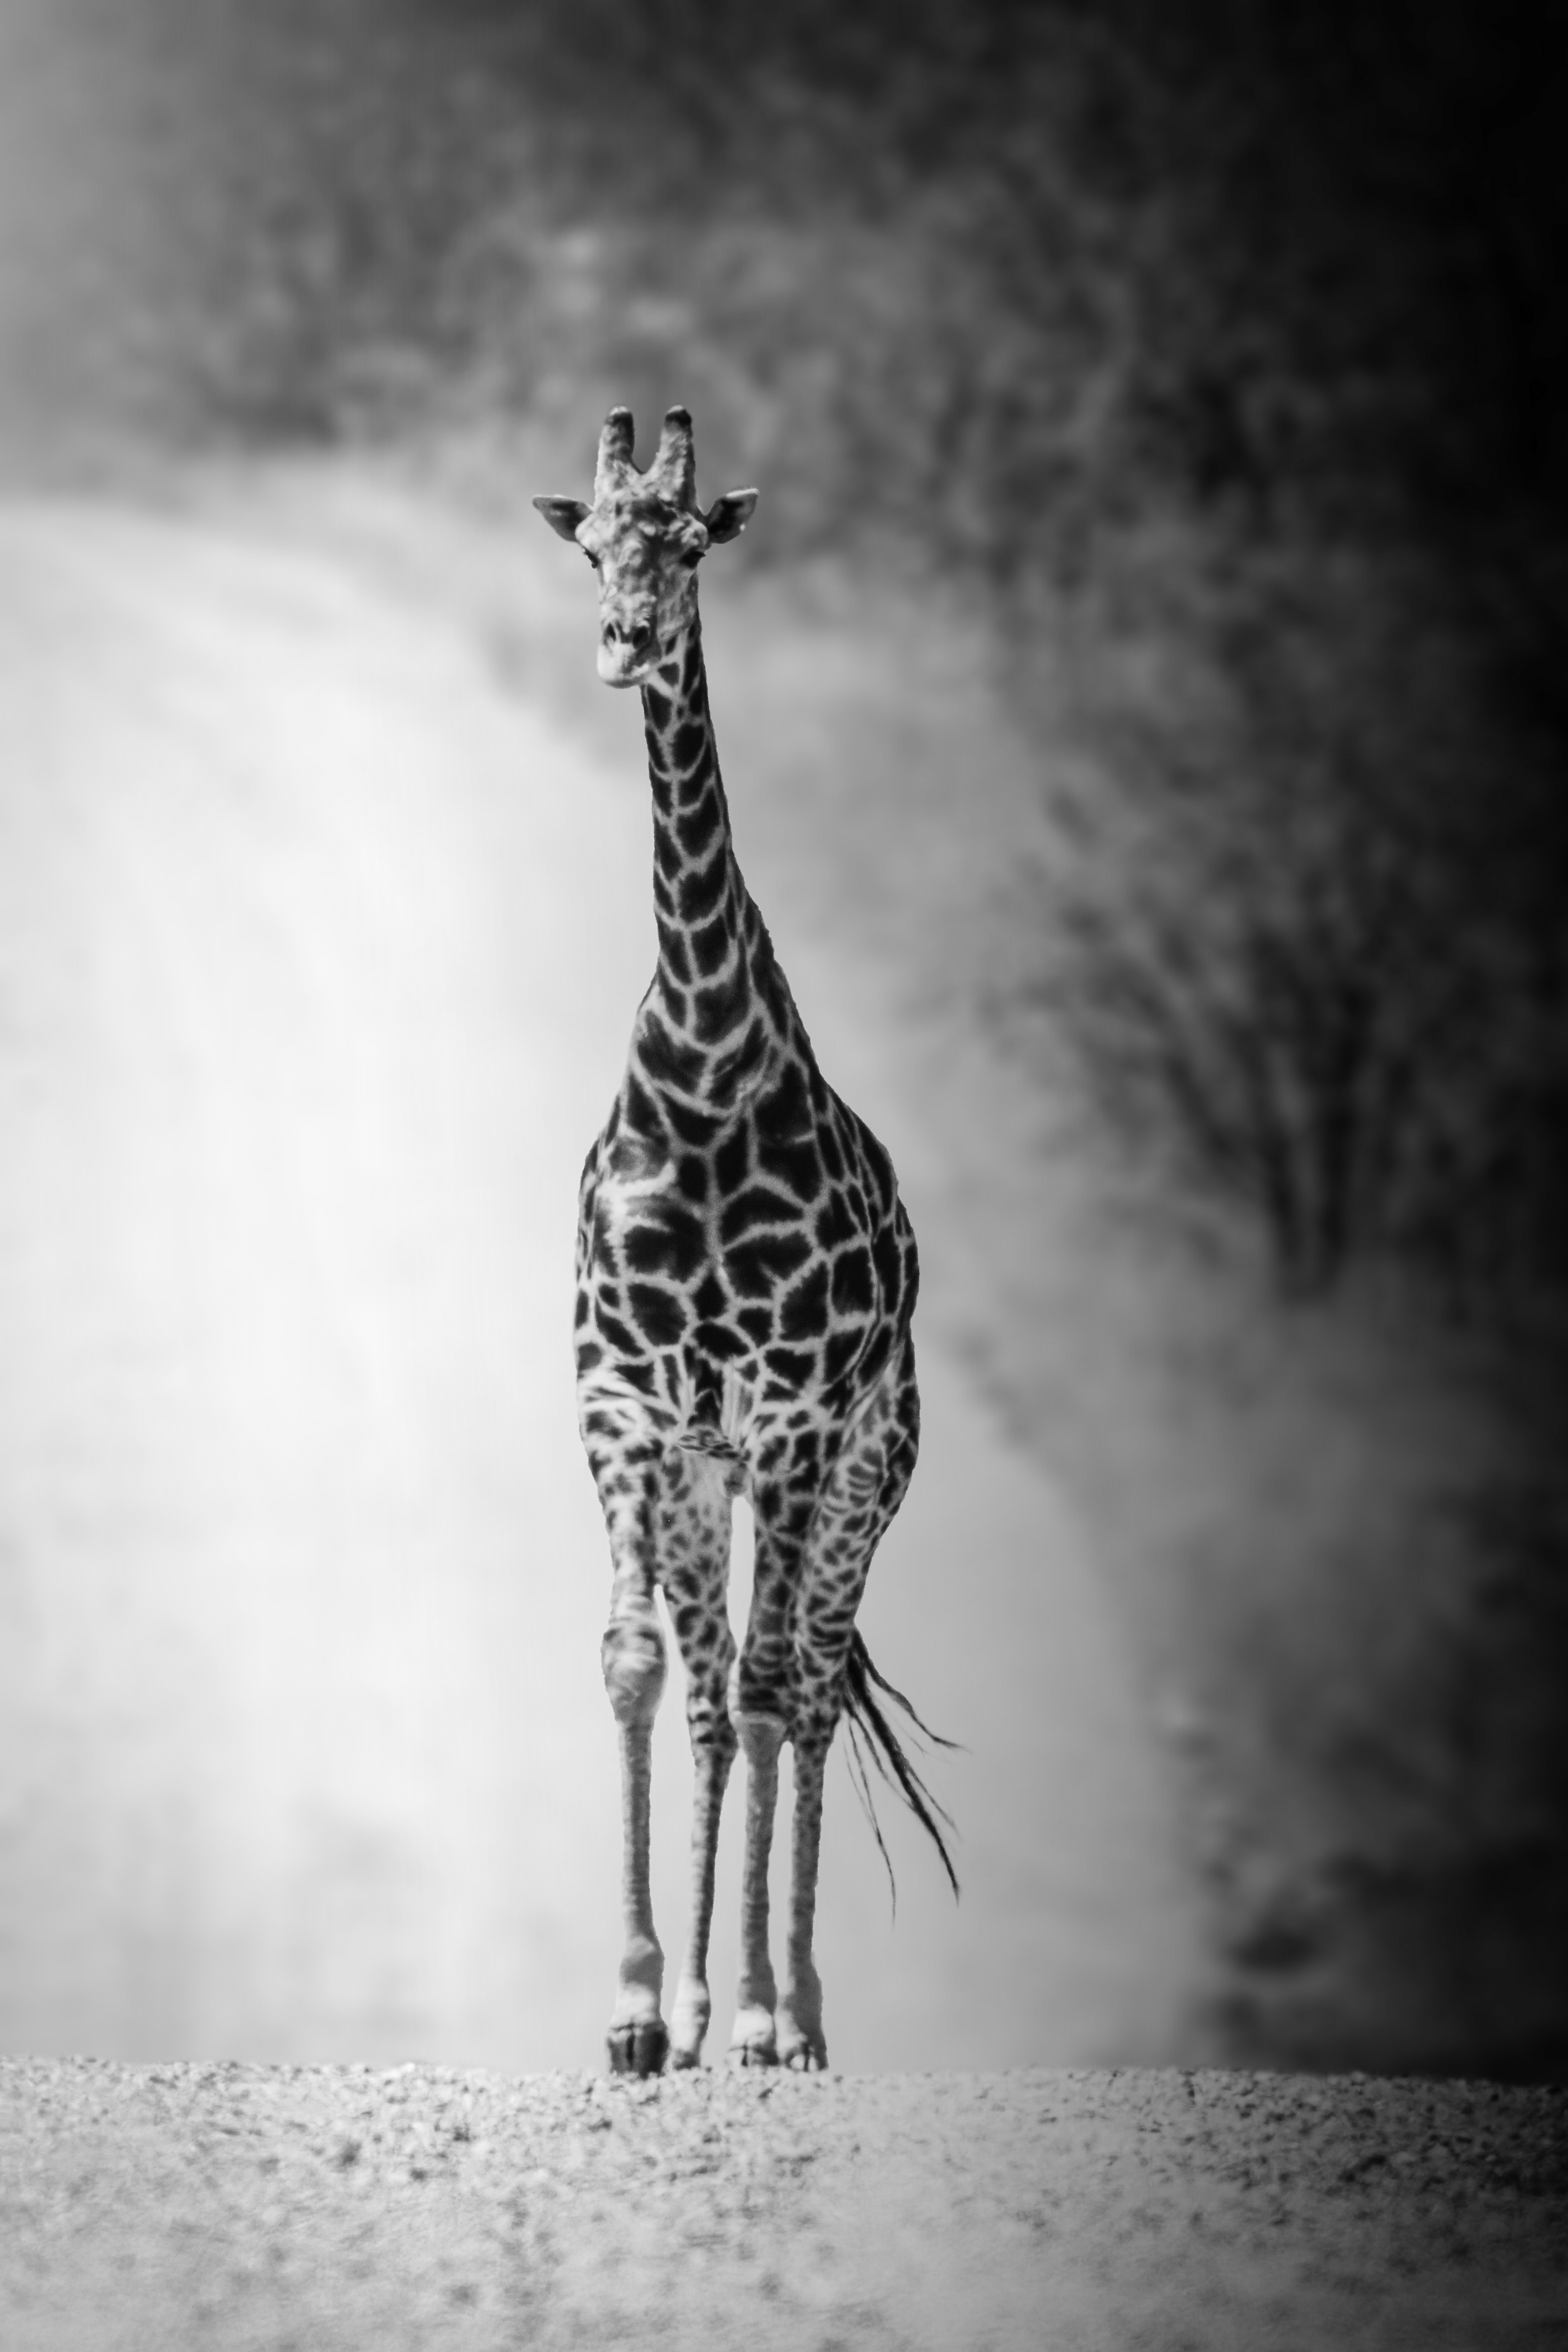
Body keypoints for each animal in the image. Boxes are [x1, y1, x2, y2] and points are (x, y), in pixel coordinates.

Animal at [534, 405, 955, 2076]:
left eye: (690, 545)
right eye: (592, 543)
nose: (624, 641)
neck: (706, 1051)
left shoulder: (784, 1414)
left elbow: (778, 1687)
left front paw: (761, 2007)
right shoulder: (629, 1409)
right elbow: (640, 1666)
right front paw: (640, 2003)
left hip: (858, 1472)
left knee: (810, 1683)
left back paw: (794, 2009)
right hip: (714, 1480)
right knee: (726, 1686)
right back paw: (715, 2004)